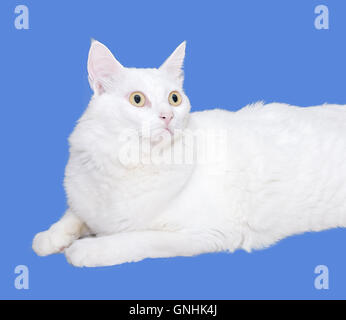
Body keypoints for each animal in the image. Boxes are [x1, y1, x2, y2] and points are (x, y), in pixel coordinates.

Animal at [31, 40, 346, 266]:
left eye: (174, 98)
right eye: (137, 99)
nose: (168, 116)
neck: (131, 160)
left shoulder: (205, 232)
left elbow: (133, 239)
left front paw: (87, 249)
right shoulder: (86, 196)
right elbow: (74, 214)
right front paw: (50, 238)